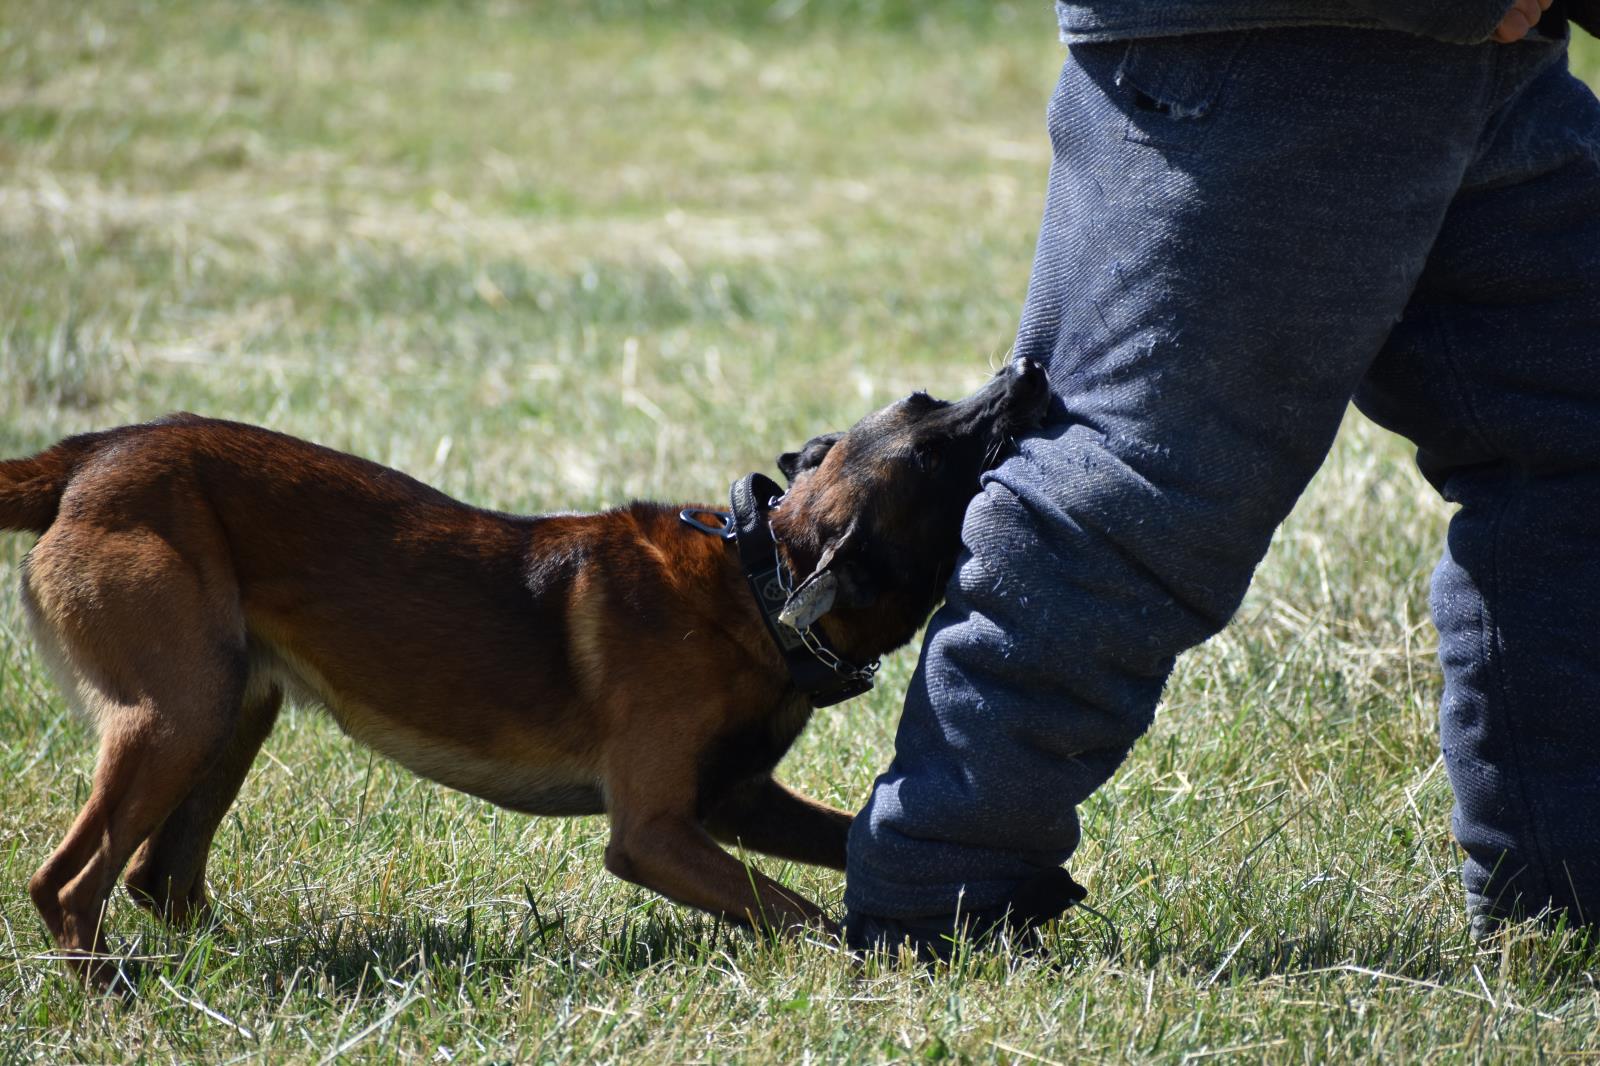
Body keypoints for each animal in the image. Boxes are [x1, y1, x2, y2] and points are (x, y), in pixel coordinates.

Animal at [0, 355, 1049, 979]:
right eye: (939, 457)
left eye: (926, 400)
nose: (1027, 372)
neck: (757, 583)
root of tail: (87, 458)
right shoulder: (655, 833)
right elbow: (793, 911)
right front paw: (875, 963)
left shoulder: (736, 804)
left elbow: (840, 840)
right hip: (175, 715)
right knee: (68, 882)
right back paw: (117, 994)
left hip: (229, 710)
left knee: (158, 878)